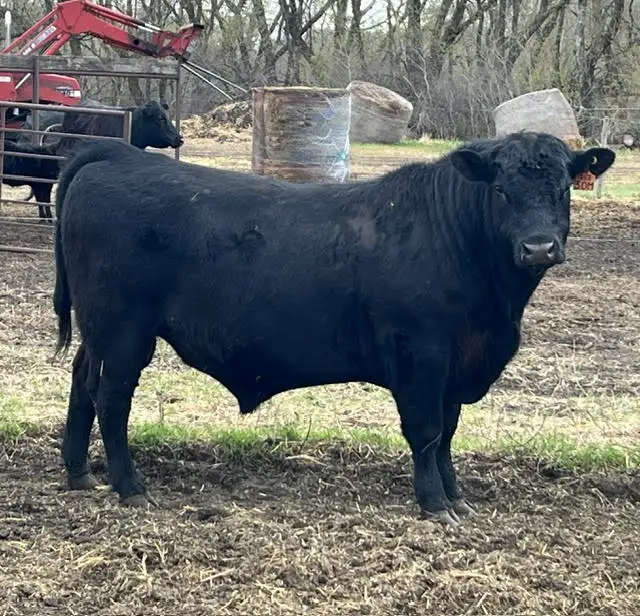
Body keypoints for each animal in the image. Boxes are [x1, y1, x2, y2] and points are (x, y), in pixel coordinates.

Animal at [52, 133, 615, 526]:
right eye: (500, 189)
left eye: (563, 189)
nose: (539, 247)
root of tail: (116, 155)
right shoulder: (421, 352)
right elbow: (427, 431)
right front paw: (434, 503)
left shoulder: (458, 361)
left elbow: (449, 432)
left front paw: (457, 497)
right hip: (124, 331)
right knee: (112, 399)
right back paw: (131, 487)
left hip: (98, 329)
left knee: (81, 383)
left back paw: (79, 473)